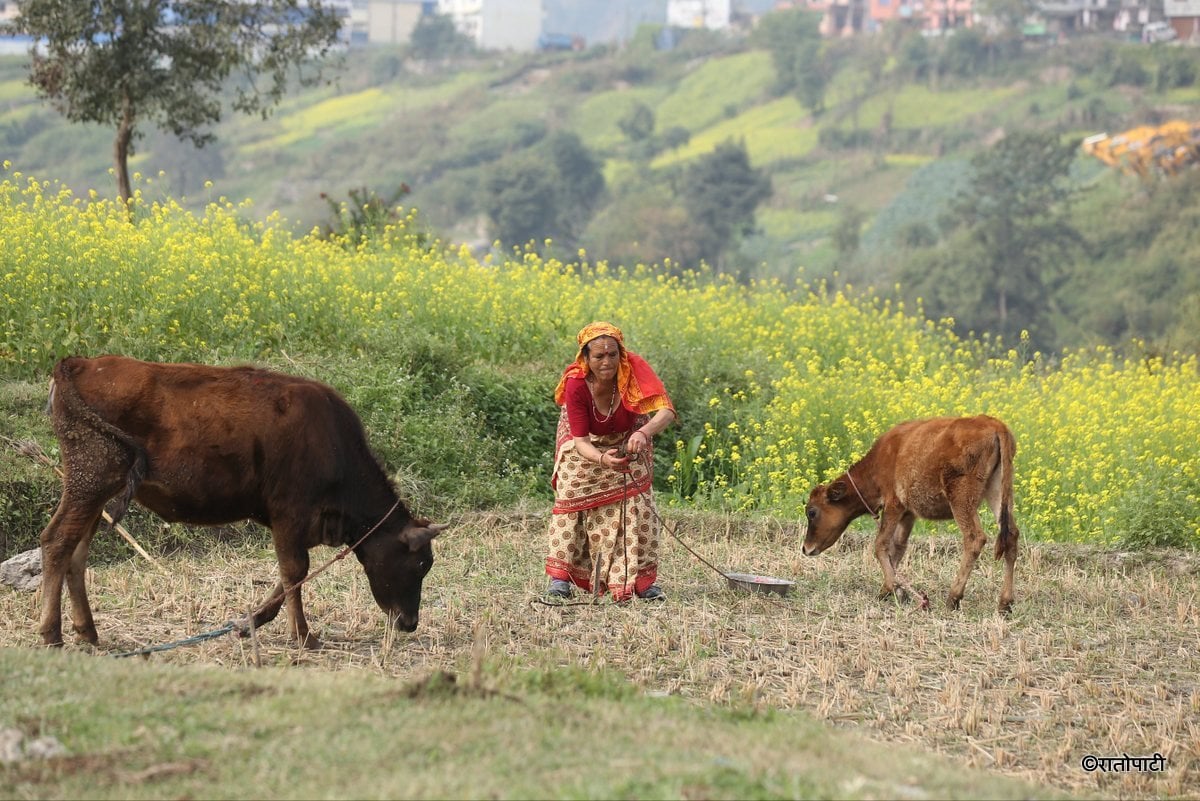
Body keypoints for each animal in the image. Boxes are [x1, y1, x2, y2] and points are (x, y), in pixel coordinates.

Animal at [42, 352, 448, 647]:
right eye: (419, 564)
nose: (410, 623)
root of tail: (80, 362)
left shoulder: (296, 523)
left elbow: (287, 578)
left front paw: (250, 622)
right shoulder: (290, 513)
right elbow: (294, 572)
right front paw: (304, 637)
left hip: (95, 490)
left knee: (77, 553)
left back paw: (88, 633)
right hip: (89, 480)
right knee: (57, 542)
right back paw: (51, 633)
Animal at [801, 417, 1017, 609]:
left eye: (812, 512)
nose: (806, 549)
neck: (880, 460)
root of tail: (994, 424)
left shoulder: (893, 505)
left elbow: (880, 544)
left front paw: (893, 589)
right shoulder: (908, 513)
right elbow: (897, 548)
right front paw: (890, 591)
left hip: (962, 499)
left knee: (975, 538)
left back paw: (953, 598)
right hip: (998, 493)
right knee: (1012, 536)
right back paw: (1005, 603)